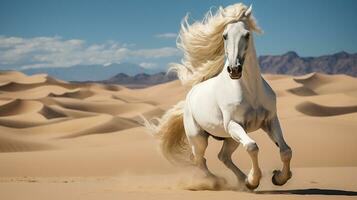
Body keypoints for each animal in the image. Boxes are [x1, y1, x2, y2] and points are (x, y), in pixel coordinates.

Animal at [146, 3, 290, 191]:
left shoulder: (270, 120)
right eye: (224, 35)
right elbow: (252, 147)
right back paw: (217, 181)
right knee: (200, 160)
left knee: (223, 156)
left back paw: (241, 180)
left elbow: (285, 151)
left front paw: (279, 178)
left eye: (247, 34)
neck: (251, 91)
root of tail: (189, 97)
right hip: (200, 138)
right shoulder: (234, 124)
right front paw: (254, 180)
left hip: (229, 138)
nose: (234, 70)